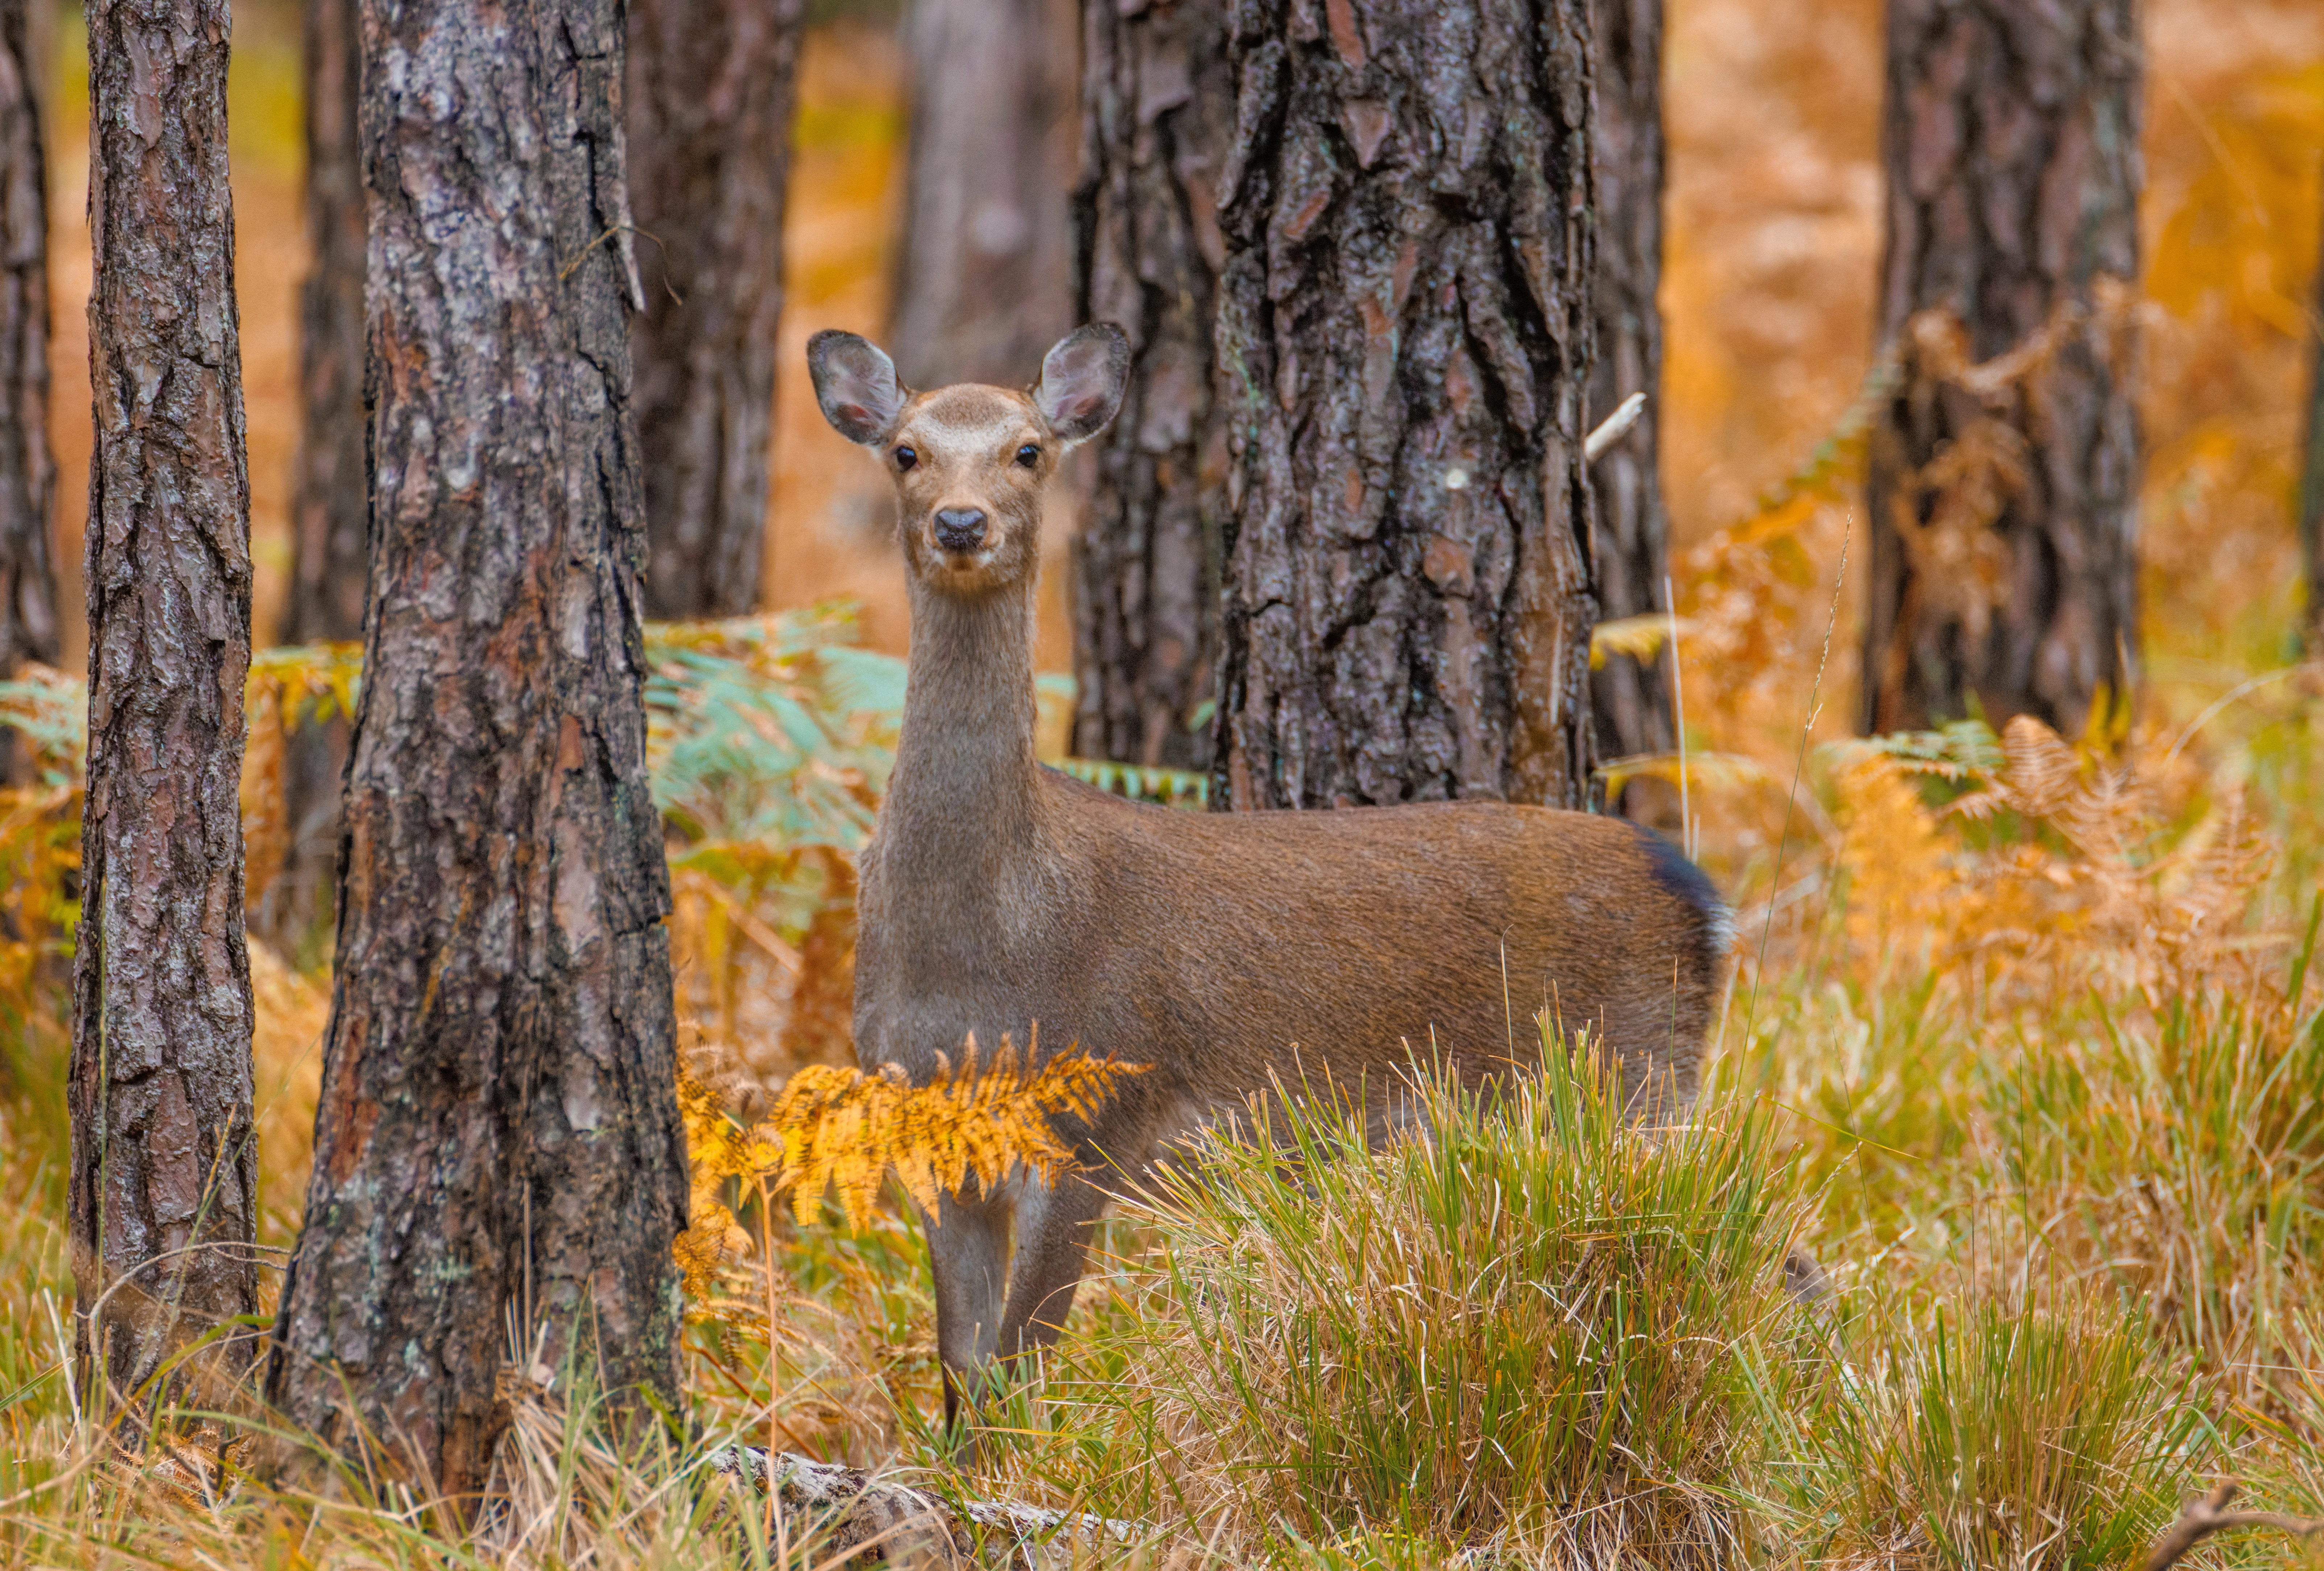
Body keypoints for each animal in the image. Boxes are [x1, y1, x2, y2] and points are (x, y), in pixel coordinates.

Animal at [807, 322, 1739, 1428]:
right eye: (905, 451)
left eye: (1028, 450)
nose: (960, 521)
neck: (984, 945)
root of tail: (1698, 897)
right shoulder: (933, 1134)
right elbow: (962, 1374)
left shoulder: (1096, 1115)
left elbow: (1022, 1369)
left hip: (1632, 1079)